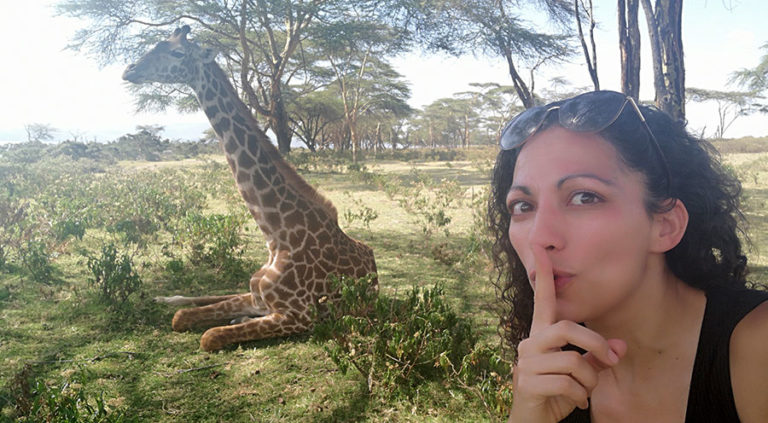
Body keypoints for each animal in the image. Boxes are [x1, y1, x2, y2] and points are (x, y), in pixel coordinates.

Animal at [122, 25, 377, 352]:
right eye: (157, 43)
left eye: (177, 53)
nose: (130, 70)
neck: (277, 236)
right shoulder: (257, 298)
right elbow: (181, 318)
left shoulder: (300, 316)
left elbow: (209, 336)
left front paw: (232, 322)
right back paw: (167, 297)